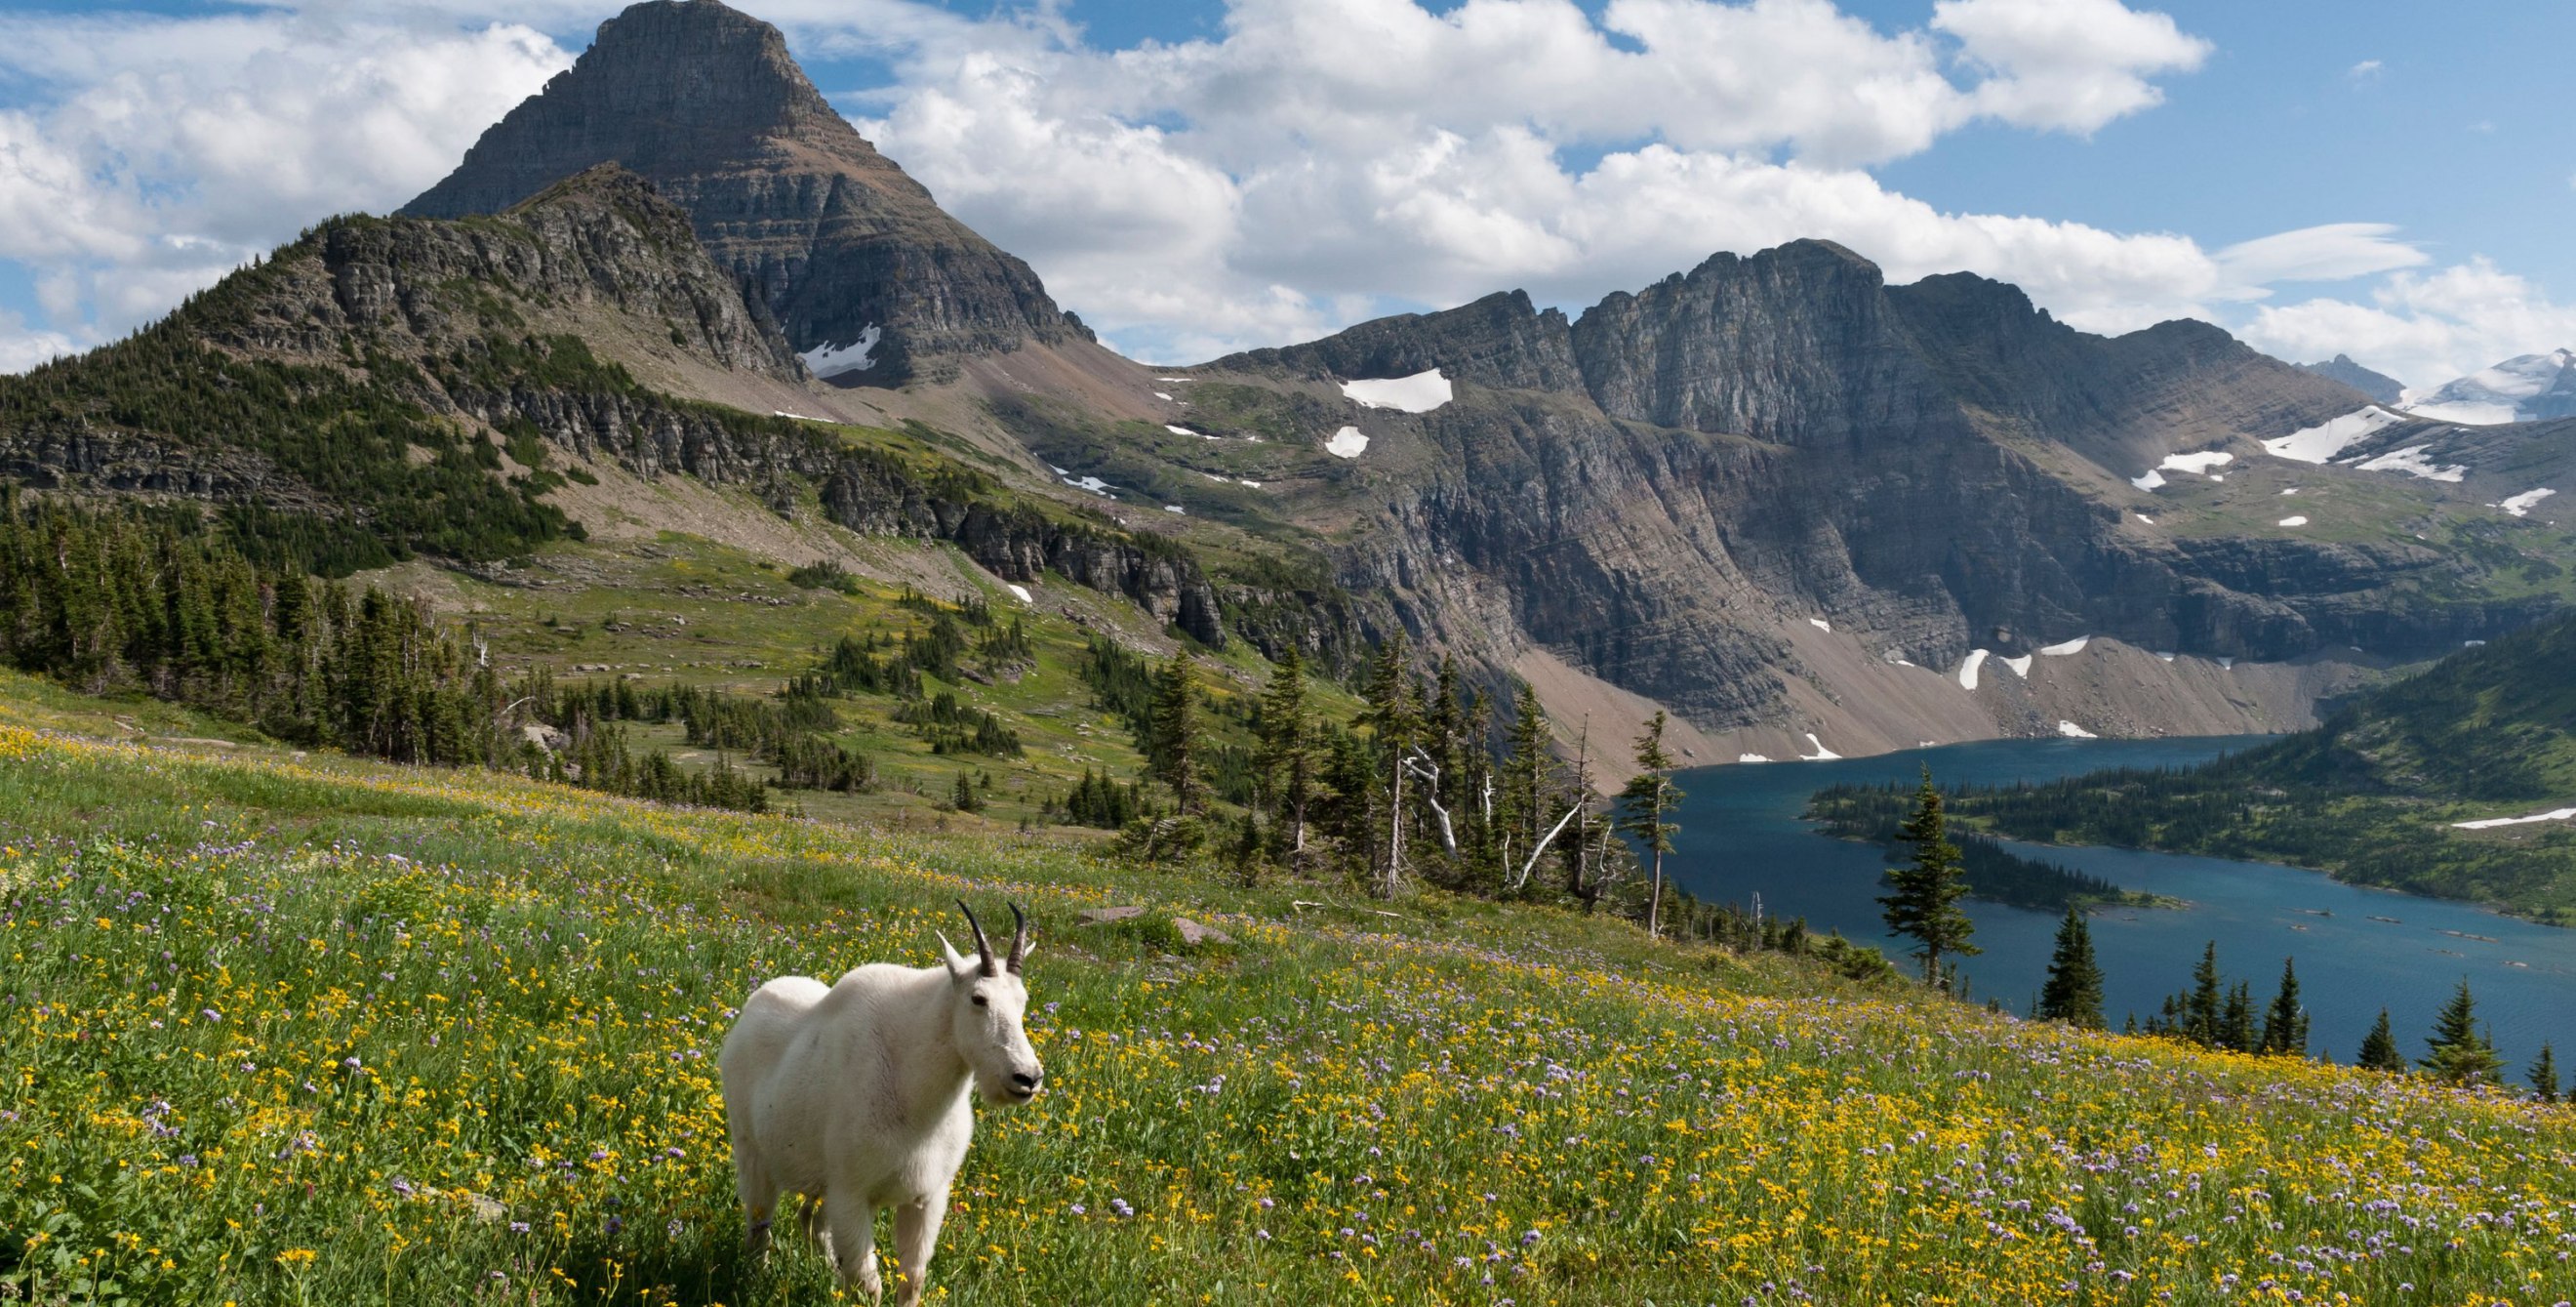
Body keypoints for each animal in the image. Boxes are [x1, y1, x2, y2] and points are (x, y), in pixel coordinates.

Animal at [721, 907, 1040, 1304]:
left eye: (1023, 1001)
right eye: (978, 999)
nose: (1027, 1078)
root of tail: (752, 1005)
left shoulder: (926, 1197)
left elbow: (911, 1280)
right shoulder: (851, 1192)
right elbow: (868, 1284)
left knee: (811, 1223)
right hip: (753, 1151)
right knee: (759, 1226)